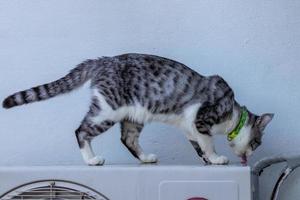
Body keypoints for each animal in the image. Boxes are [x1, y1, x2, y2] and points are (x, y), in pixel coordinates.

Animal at [2, 53, 274, 166]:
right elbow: (208, 143)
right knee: (81, 131)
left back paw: (145, 158)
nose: (252, 153)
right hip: (107, 110)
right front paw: (217, 158)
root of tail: (103, 60)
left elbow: (199, 145)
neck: (233, 116)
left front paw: (207, 160)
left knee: (128, 139)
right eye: (257, 143)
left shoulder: (191, 127)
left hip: (133, 116)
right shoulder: (202, 118)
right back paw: (91, 160)